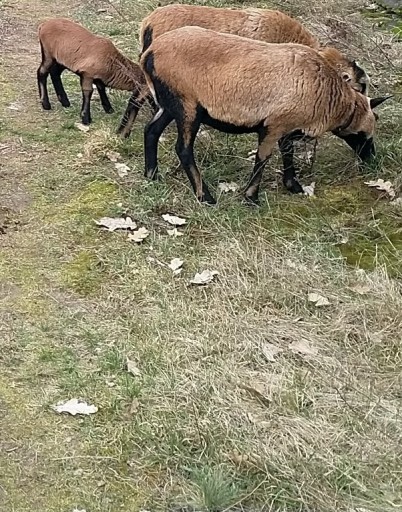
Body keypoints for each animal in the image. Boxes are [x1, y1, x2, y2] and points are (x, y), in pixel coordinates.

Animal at [140, 26, 388, 206]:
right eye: (364, 134)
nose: (371, 159)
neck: (329, 97)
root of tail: (149, 54)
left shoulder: (288, 126)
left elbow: (287, 153)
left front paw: (293, 185)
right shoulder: (273, 125)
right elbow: (263, 159)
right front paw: (251, 197)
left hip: (169, 104)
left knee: (151, 131)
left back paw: (152, 175)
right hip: (187, 106)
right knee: (183, 149)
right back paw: (205, 197)